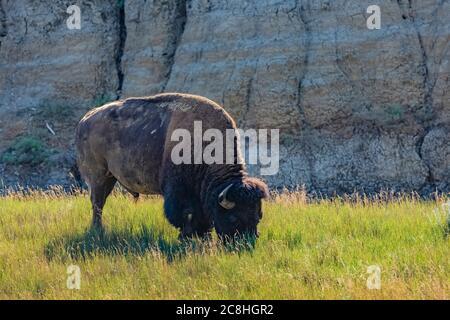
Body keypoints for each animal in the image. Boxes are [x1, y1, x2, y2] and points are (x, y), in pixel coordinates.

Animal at [75, 92, 268, 240]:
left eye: (258, 216)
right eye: (234, 217)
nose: (246, 243)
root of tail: (84, 120)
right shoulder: (176, 191)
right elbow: (183, 215)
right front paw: (187, 236)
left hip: (110, 177)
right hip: (99, 177)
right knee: (97, 203)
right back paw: (98, 230)